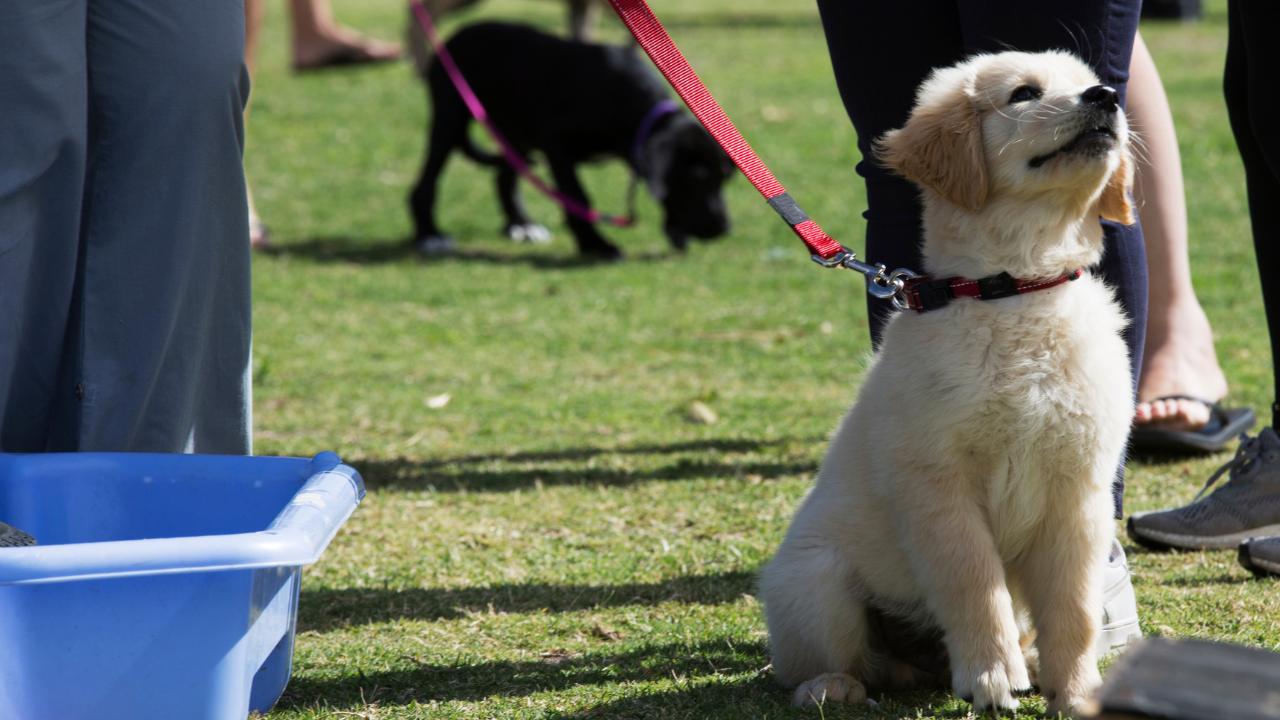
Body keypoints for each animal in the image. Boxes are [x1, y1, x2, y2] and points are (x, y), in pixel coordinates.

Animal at [409, 20, 732, 258]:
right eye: (697, 179)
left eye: (723, 180)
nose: (723, 229)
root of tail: (457, 35)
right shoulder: (557, 146)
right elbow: (577, 197)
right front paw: (596, 245)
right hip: (450, 116)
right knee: (426, 183)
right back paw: (430, 235)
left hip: (517, 136)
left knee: (504, 178)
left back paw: (521, 225)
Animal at [752, 49, 1136, 712]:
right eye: (1024, 93)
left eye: (1090, 82)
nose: (1106, 96)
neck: (1016, 292)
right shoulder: (938, 484)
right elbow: (974, 583)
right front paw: (991, 676)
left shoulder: (1079, 491)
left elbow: (1076, 609)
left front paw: (1077, 691)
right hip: (816, 580)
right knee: (827, 662)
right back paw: (832, 686)